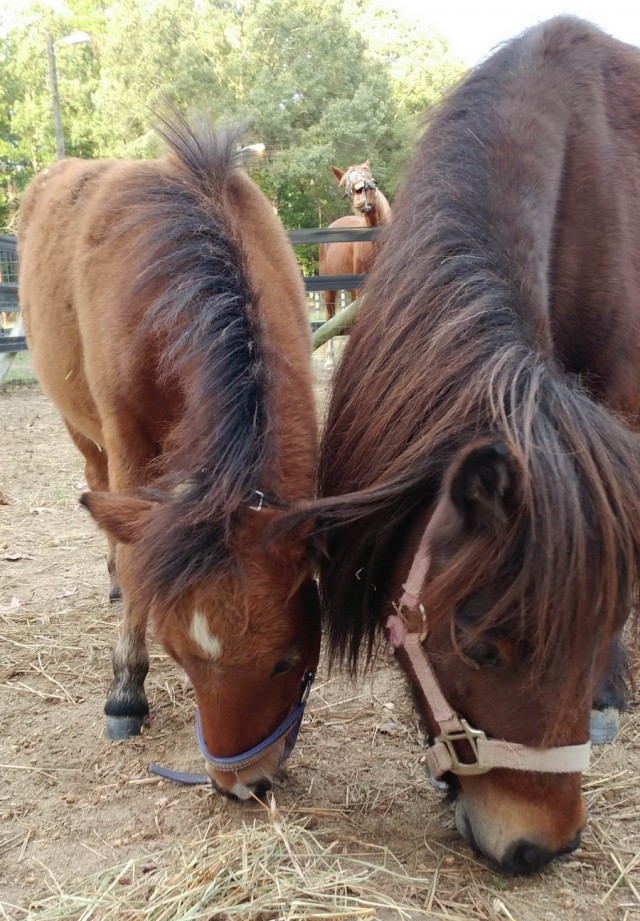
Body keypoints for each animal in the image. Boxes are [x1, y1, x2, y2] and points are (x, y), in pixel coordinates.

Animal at [17, 111, 320, 796]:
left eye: (287, 658)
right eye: (178, 655)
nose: (241, 785)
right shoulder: (127, 439)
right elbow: (136, 562)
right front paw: (125, 690)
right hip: (84, 431)